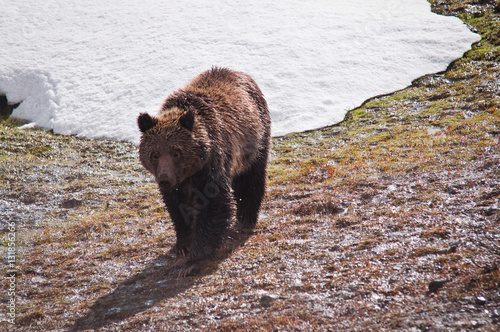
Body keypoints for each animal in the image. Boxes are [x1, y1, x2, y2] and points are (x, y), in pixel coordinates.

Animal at [136, 66, 270, 276]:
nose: (165, 179)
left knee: (251, 179)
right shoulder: (179, 183)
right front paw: (183, 244)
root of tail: (238, 72)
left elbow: (214, 204)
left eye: (176, 152)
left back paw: (246, 219)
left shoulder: (211, 165)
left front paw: (193, 260)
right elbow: (176, 207)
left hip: (255, 139)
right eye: (154, 154)